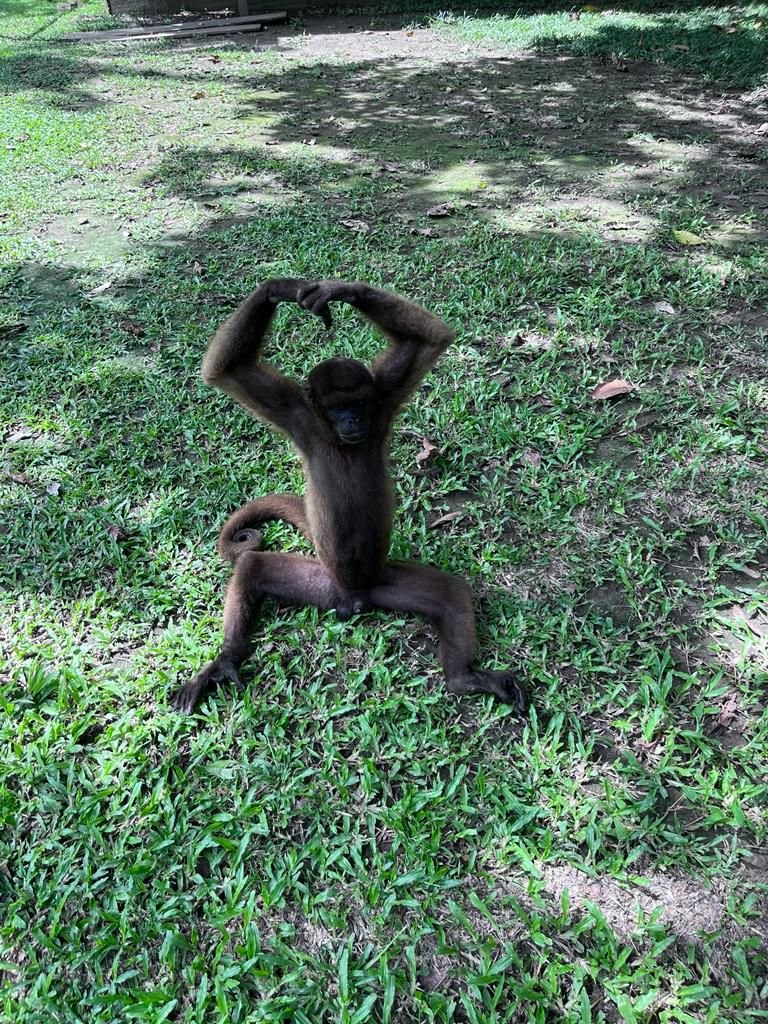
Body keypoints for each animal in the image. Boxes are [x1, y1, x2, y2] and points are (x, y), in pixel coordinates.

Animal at [173, 278, 526, 715]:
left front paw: (342, 290)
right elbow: (227, 370)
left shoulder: (383, 397)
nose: (354, 421)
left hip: (384, 581)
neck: (340, 440)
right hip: (320, 581)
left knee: (451, 592)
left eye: (357, 403)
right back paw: (224, 661)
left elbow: (432, 337)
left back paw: (464, 678)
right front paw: (282, 288)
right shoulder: (296, 414)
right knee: (252, 566)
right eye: (338, 408)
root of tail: (354, 597)